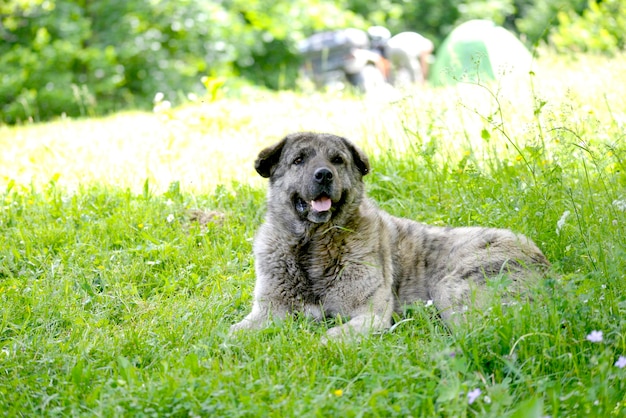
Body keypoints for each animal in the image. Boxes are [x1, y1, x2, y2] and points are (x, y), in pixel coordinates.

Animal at [229, 132, 544, 338]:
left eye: (337, 160)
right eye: (298, 160)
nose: (323, 174)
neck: (314, 243)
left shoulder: (369, 314)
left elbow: (329, 338)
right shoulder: (269, 311)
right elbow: (233, 333)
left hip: (453, 288)